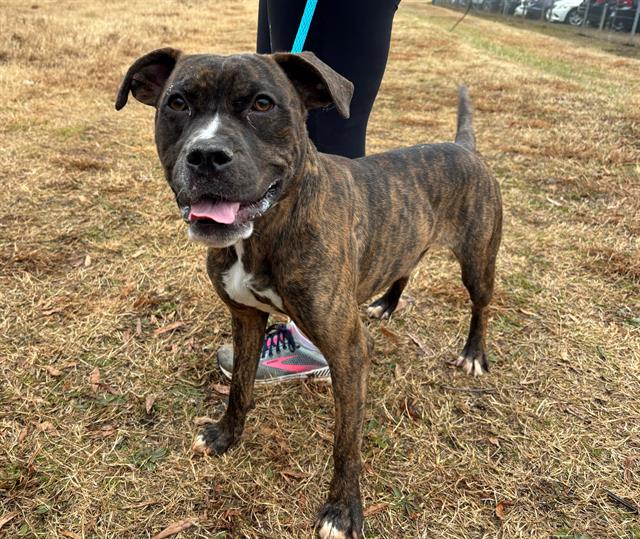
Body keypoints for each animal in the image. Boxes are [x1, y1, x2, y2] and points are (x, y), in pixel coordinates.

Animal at [116, 48, 502, 539]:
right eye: (178, 103)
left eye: (263, 104)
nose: (206, 155)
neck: (265, 231)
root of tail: (464, 148)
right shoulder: (246, 319)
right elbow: (240, 387)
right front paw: (225, 436)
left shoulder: (348, 351)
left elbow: (346, 442)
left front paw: (343, 510)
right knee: (406, 267)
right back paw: (386, 304)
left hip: (478, 260)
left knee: (481, 305)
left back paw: (473, 352)